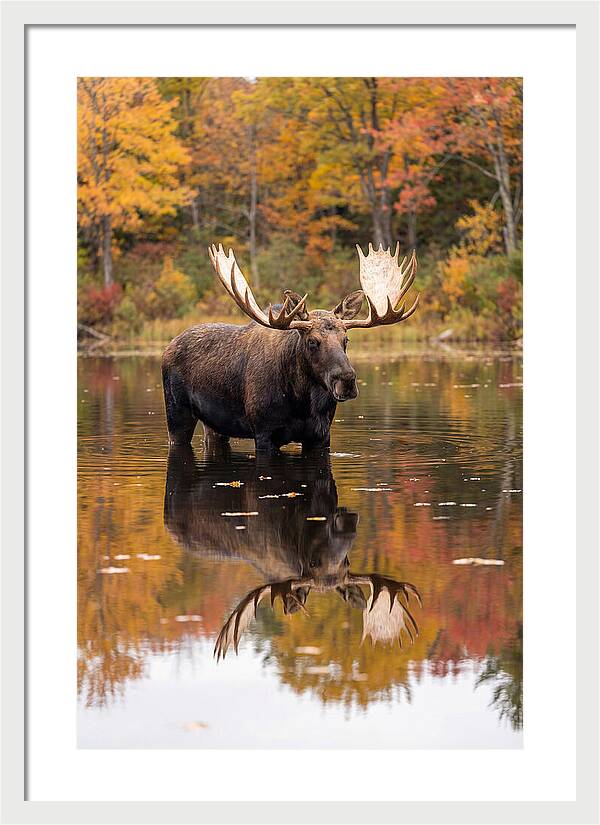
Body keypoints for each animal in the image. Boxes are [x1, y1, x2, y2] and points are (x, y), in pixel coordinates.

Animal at [162, 243, 419, 454]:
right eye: (312, 341)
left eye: (346, 340)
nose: (346, 380)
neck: (301, 402)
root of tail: (169, 346)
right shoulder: (264, 432)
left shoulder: (321, 436)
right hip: (176, 412)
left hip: (214, 425)